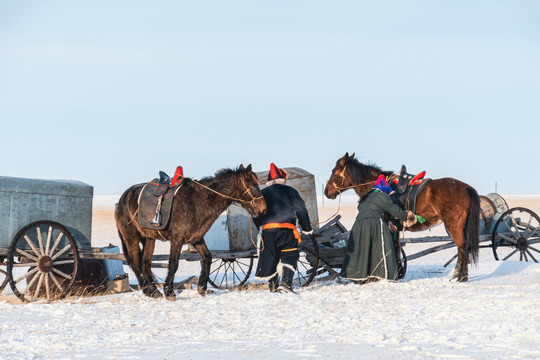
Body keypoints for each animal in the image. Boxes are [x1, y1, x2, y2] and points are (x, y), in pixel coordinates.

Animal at [115, 165, 266, 300]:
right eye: (253, 186)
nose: (263, 209)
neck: (197, 202)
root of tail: (121, 200)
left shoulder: (196, 238)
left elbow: (207, 257)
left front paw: (202, 288)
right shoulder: (177, 239)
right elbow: (173, 264)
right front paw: (169, 292)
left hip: (148, 238)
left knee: (145, 262)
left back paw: (153, 291)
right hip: (132, 238)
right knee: (135, 263)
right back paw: (149, 290)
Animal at [324, 152, 480, 282]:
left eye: (334, 172)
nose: (326, 192)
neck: (378, 185)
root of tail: (466, 187)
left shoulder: (389, 226)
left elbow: (394, 248)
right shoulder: (396, 228)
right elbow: (397, 248)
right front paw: (399, 273)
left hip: (454, 226)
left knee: (462, 248)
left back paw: (460, 277)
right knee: (462, 249)